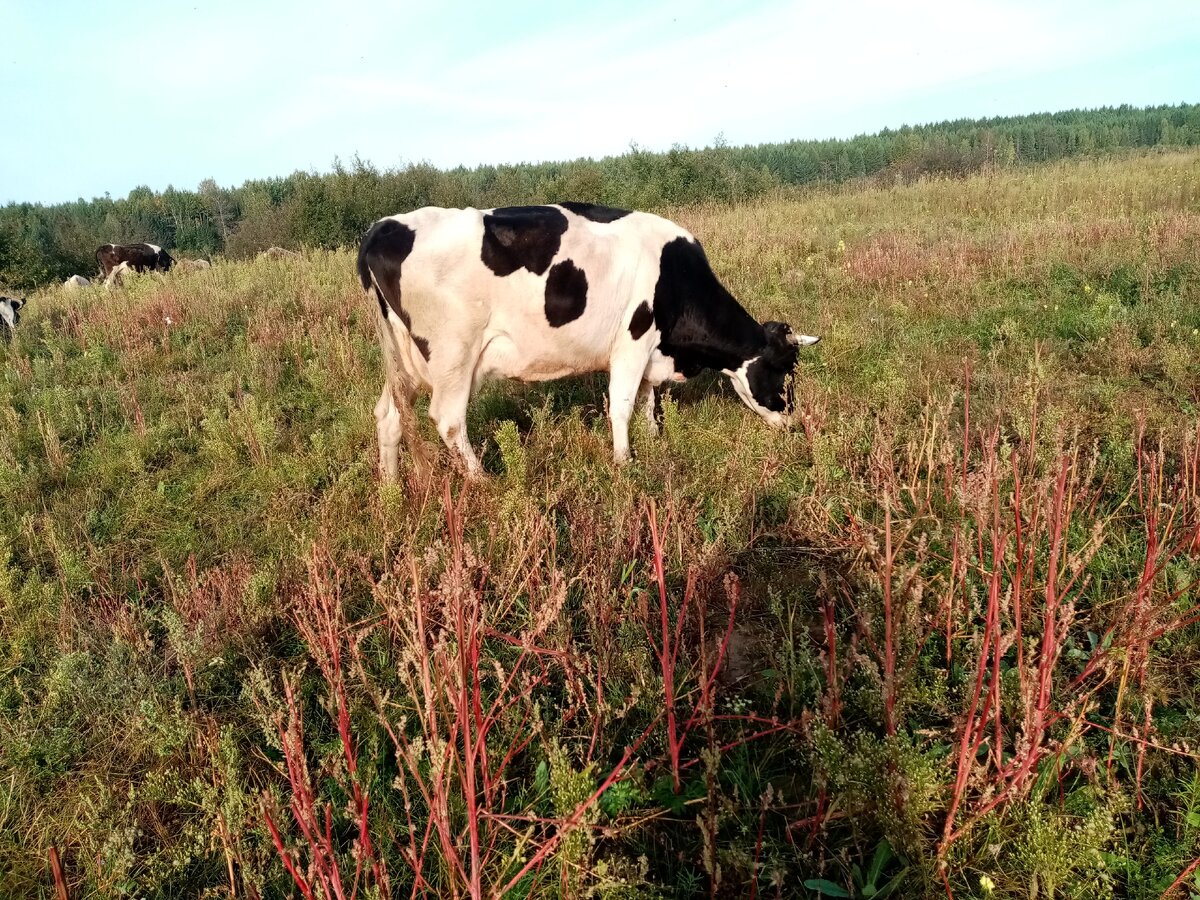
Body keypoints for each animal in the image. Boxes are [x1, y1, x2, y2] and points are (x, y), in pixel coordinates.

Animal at [355, 201, 820, 482]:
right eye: (784, 372)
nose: (796, 423)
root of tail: (384, 227)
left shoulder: (649, 353)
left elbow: (647, 402)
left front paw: (654, 442)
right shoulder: (633, 339)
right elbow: (623, 404)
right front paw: (624, 462)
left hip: (407, 361)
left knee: (388, 415)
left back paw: (390, 489)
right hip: (453, 355)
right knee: (448, 419)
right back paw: (484, 481)